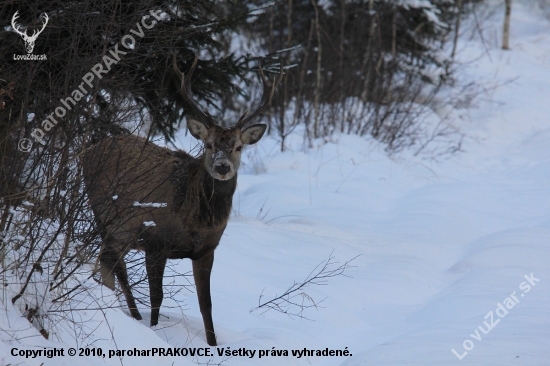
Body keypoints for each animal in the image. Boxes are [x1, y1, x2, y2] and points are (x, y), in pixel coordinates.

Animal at [84, 55, 286, 346]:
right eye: (209, 145)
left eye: (238, 147)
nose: (222, 167)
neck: (196, 218)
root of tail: (88, 151)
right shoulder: (155, 240)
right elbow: (157, 297)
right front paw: (155, 330)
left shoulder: (207, 250)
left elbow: (206, 304)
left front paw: (212, 344)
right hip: (106, 216)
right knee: (115, 265)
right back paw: (134, 316)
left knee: (107, 261)